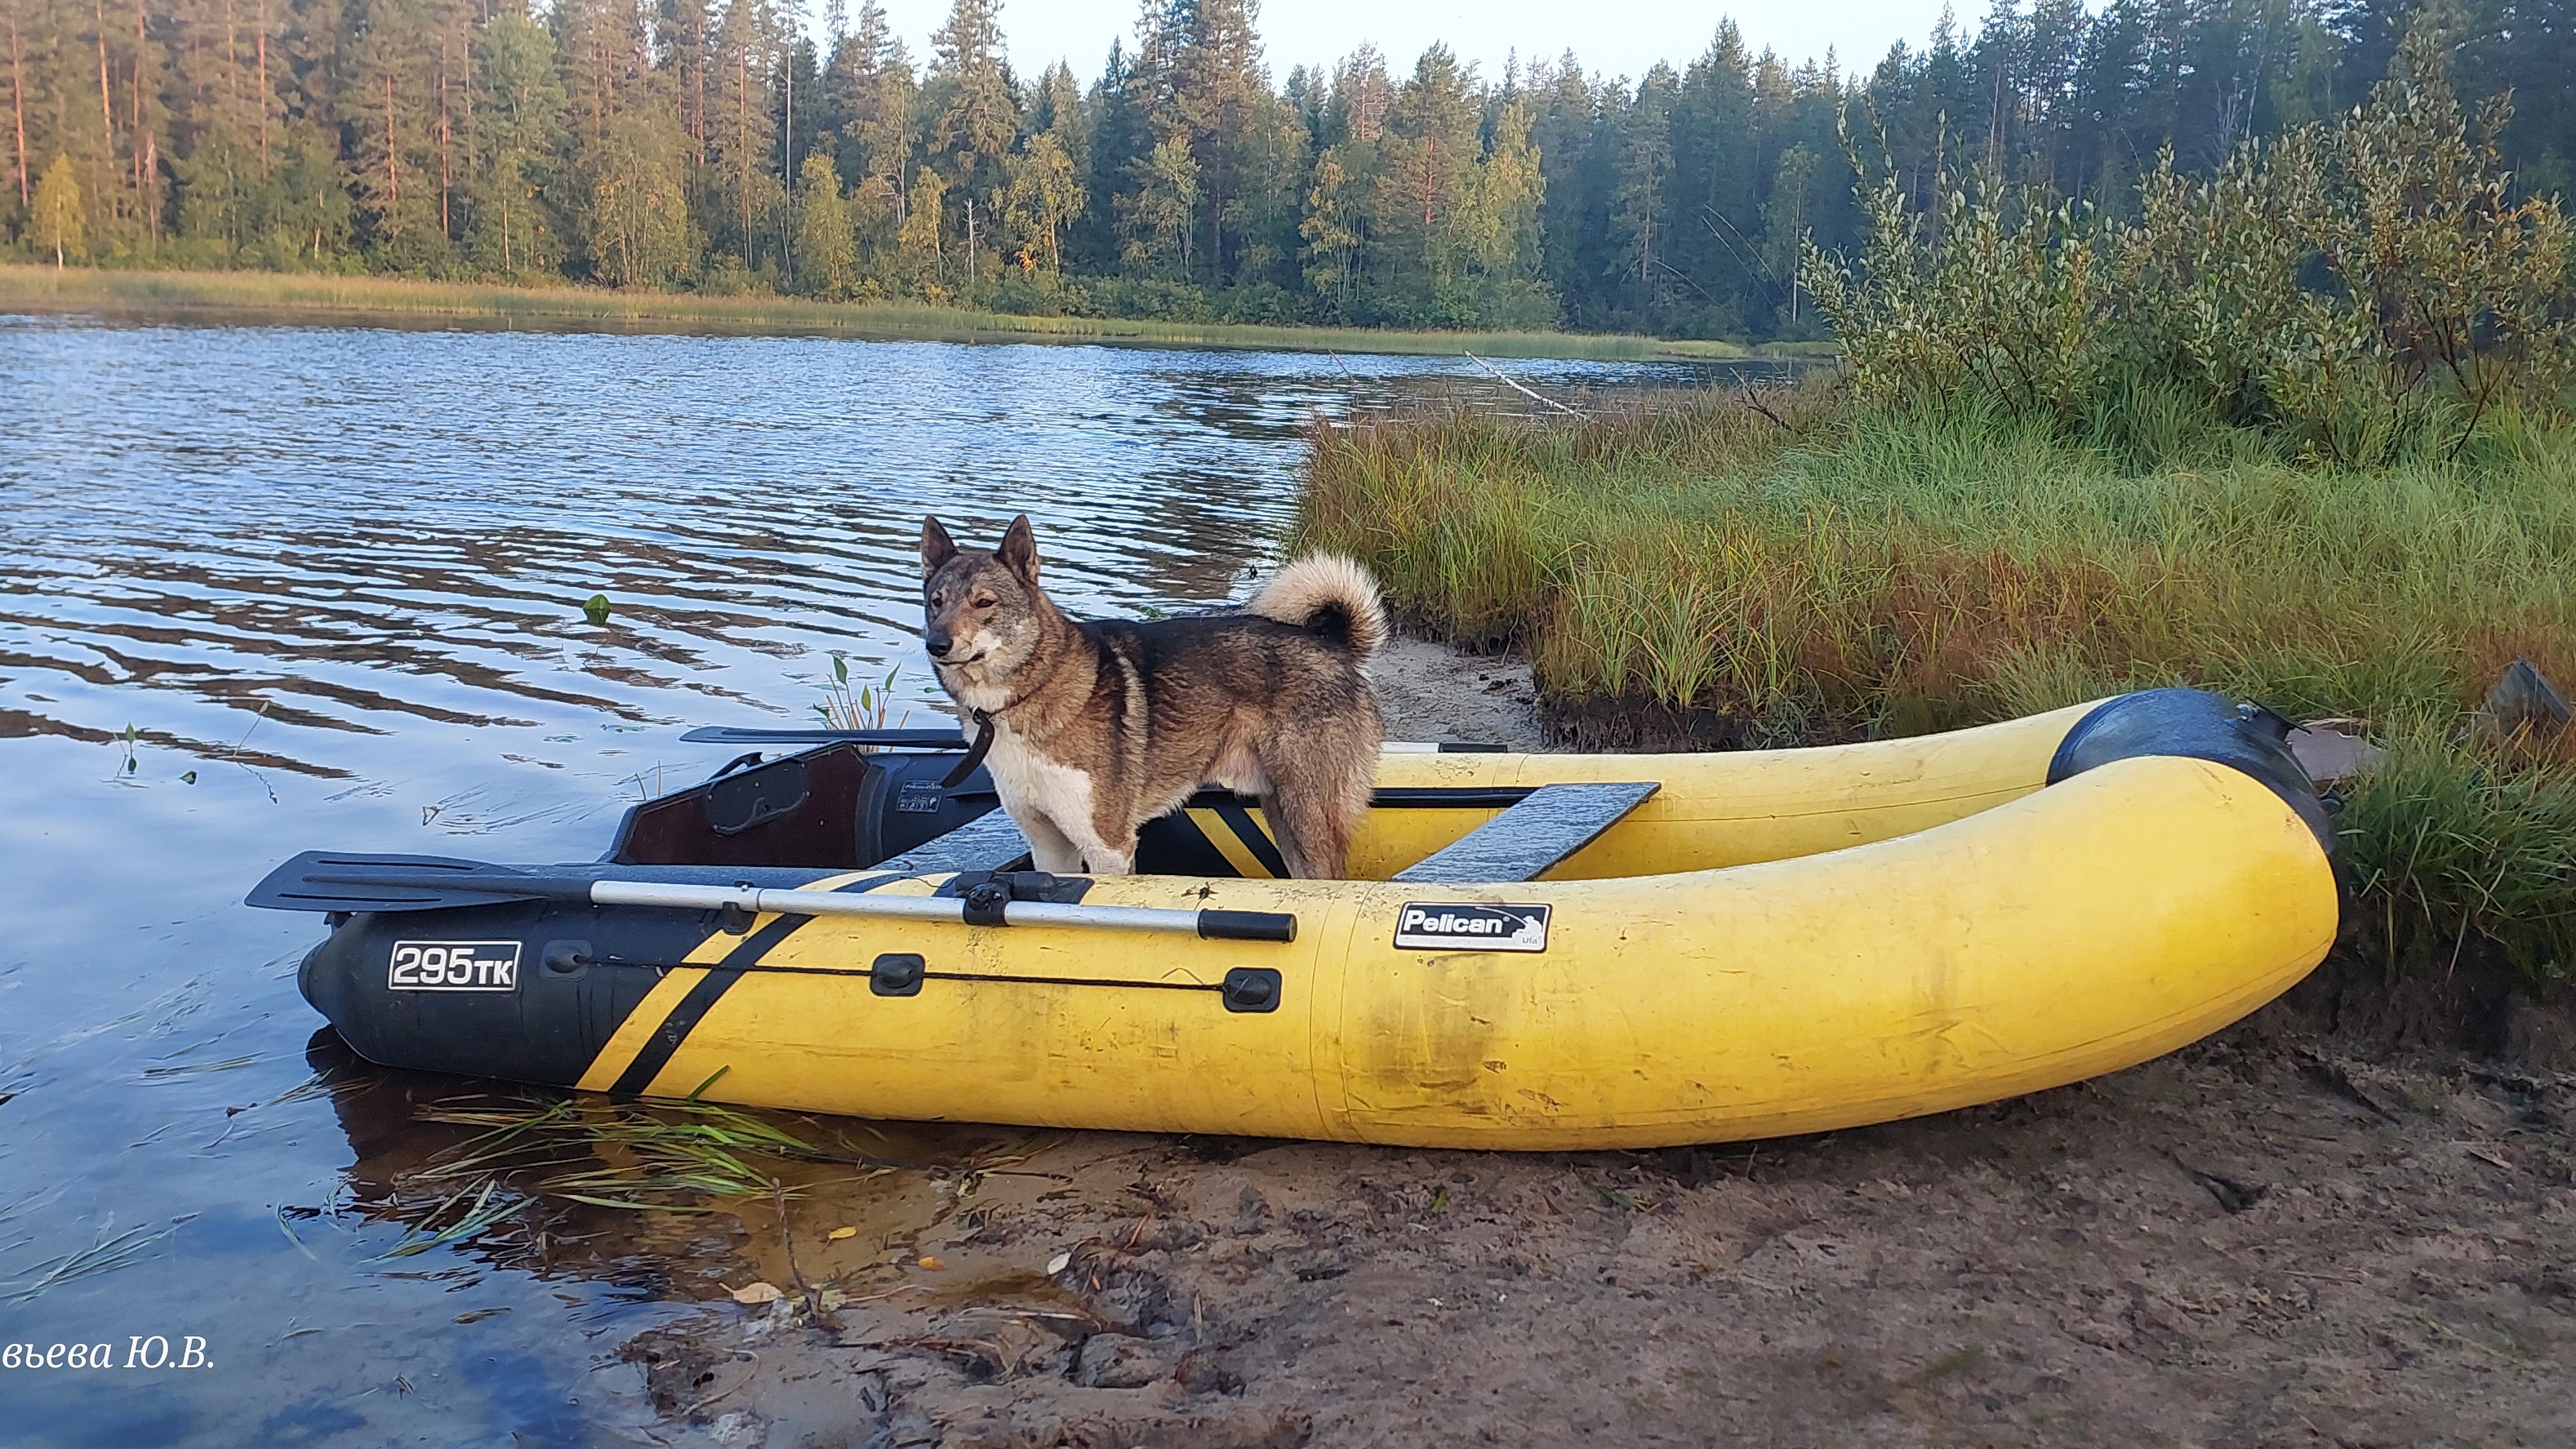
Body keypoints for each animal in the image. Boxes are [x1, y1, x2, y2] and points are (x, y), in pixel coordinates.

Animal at [917, 514, 1381, 880]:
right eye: (935, 602)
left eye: (984, 603)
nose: (935, 644)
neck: (1030, 691)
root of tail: (1334, 646)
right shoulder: (1050, 847)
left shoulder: (1109, 847)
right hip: (1283, 817)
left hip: (1310, 819)